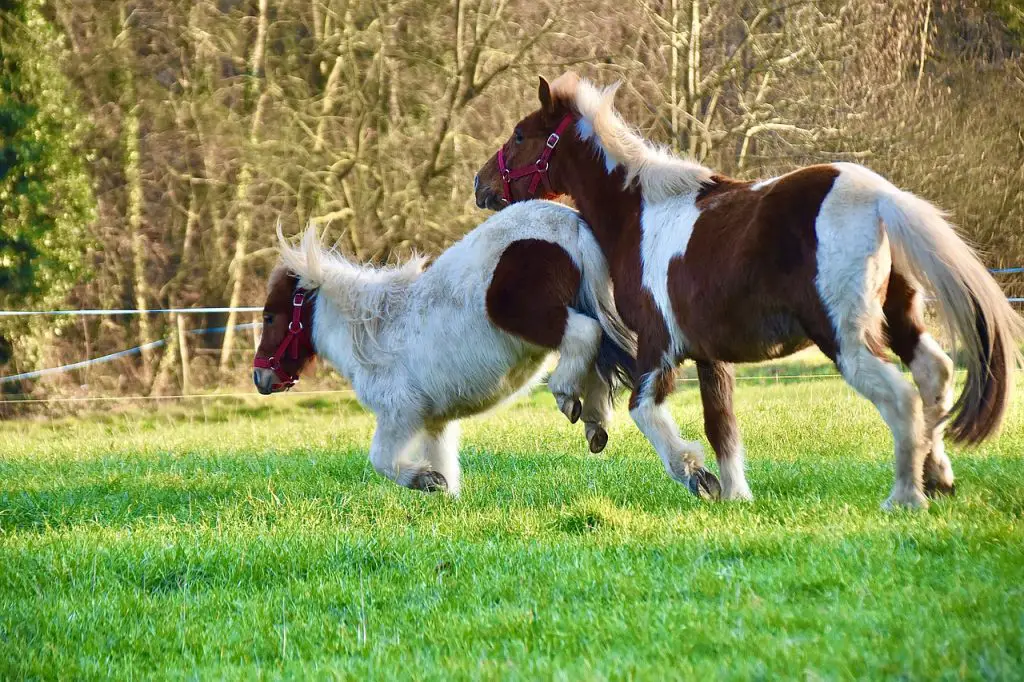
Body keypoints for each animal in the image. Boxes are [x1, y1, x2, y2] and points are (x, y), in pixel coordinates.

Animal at [249, 201, 630, 493]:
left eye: (269, 317)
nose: (259, 377)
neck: (374, 331)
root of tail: (569, 220)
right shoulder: (434, 422)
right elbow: (445, 465)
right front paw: (443, 492)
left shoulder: (400, 412)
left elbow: (381, 460)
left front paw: (424, 480)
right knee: (600, 355)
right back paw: (595, 424)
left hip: (534, 318)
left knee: (586, 334)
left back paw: (567, 397)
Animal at [471, 75, 1024, 509]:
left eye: (520, 135)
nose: (480, 186)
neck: (640, 215)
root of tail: (882, 197)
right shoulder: (710, 356)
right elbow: (722, 425)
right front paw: (736, 496)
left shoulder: (659, 345)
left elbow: (644, 411)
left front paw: (696, 476)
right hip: (897, 318)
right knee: (935, 374)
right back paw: (938, 479)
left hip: (845, 337)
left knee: (902, 397)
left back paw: (905, 497)